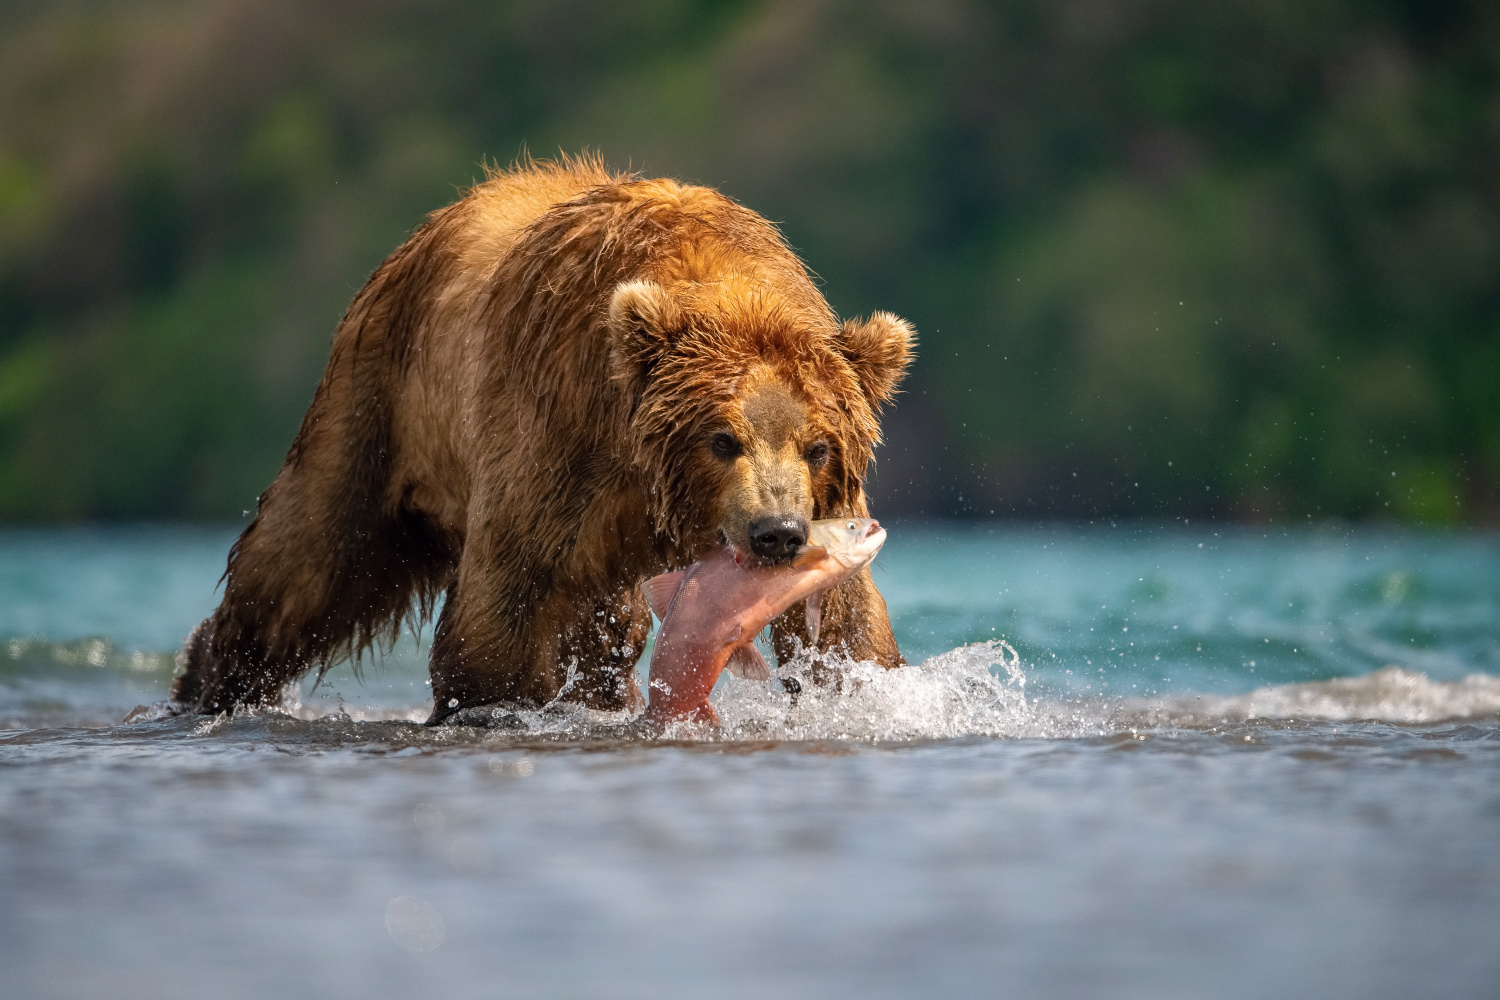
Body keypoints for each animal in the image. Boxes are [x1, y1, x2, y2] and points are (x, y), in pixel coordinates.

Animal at [168, 154, 906, 719]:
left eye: (818, 447)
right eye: (722, 439)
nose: (777, 533)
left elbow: (846, 623)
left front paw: (861, 688)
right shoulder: (553, 439)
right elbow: (504, 606)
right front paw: (493, 703)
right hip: (377, 404)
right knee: (308, 558)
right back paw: (208, 678)